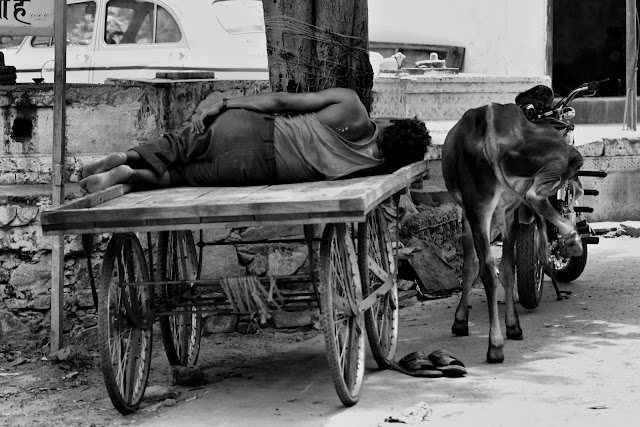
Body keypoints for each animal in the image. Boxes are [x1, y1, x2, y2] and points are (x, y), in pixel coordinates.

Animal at [442, 102, 584, 363]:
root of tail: (490, 130)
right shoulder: (496, 215)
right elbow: (500, 268)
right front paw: (511, 325)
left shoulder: (472, 215)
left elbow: (473, 267)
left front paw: (461, 321)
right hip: (549, 164)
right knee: (538, 194)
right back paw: (572, 238)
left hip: (484, 208)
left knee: (489, 270)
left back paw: (495, 343)